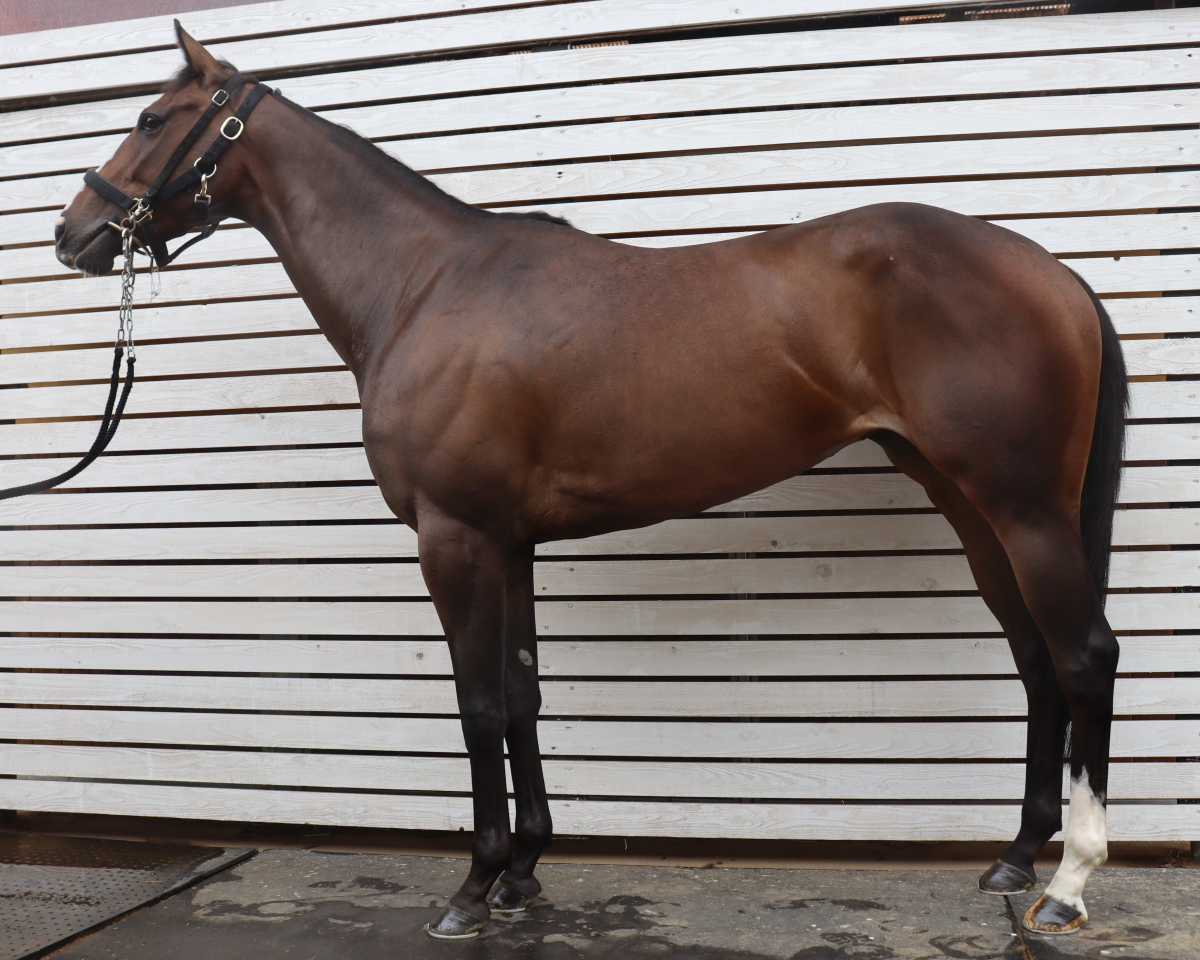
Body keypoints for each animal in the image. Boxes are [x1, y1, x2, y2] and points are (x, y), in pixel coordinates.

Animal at [54, 24, 1127, 939]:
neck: (424, 285)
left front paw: (474, 886)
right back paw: (1016, 856)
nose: (73, 233)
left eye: (150, 119)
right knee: (1035, 658)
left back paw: (1069, 884)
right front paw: (526, 870)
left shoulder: (454, 537)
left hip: (1026, 510)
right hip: (971, 507)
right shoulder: (509, 542)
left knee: (1084, 657)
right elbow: (525, 695)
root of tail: (1052, 271)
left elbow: (478, 704)